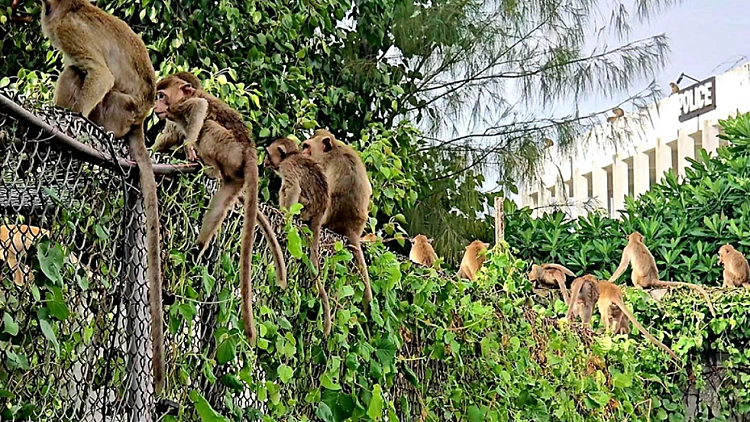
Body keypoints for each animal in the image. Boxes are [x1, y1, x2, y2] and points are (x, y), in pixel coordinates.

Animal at [41, 0, 166, 392]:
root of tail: (138, 121)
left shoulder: (68, 29)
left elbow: (100, 74)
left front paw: (74, 117)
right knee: (73, 70)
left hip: (114, 110)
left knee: (85, 74)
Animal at [155, 74, 288, 348]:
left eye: (162, 95)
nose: (155, 105)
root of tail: (250, 151)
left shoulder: (181, 108)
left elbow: (200, 109)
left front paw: (188, 146)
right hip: (235, 173)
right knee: (220, 203)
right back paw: (196, 250)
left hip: (227, 147)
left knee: (208, 125)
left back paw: (208, 167)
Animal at [266, 138, 334, 336]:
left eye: (268, 154)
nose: (264, 162)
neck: (292, 155)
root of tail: (320, 211)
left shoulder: (287, 166)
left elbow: (293, 188)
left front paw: (285, 216)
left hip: (305, 207)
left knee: (287, 189)